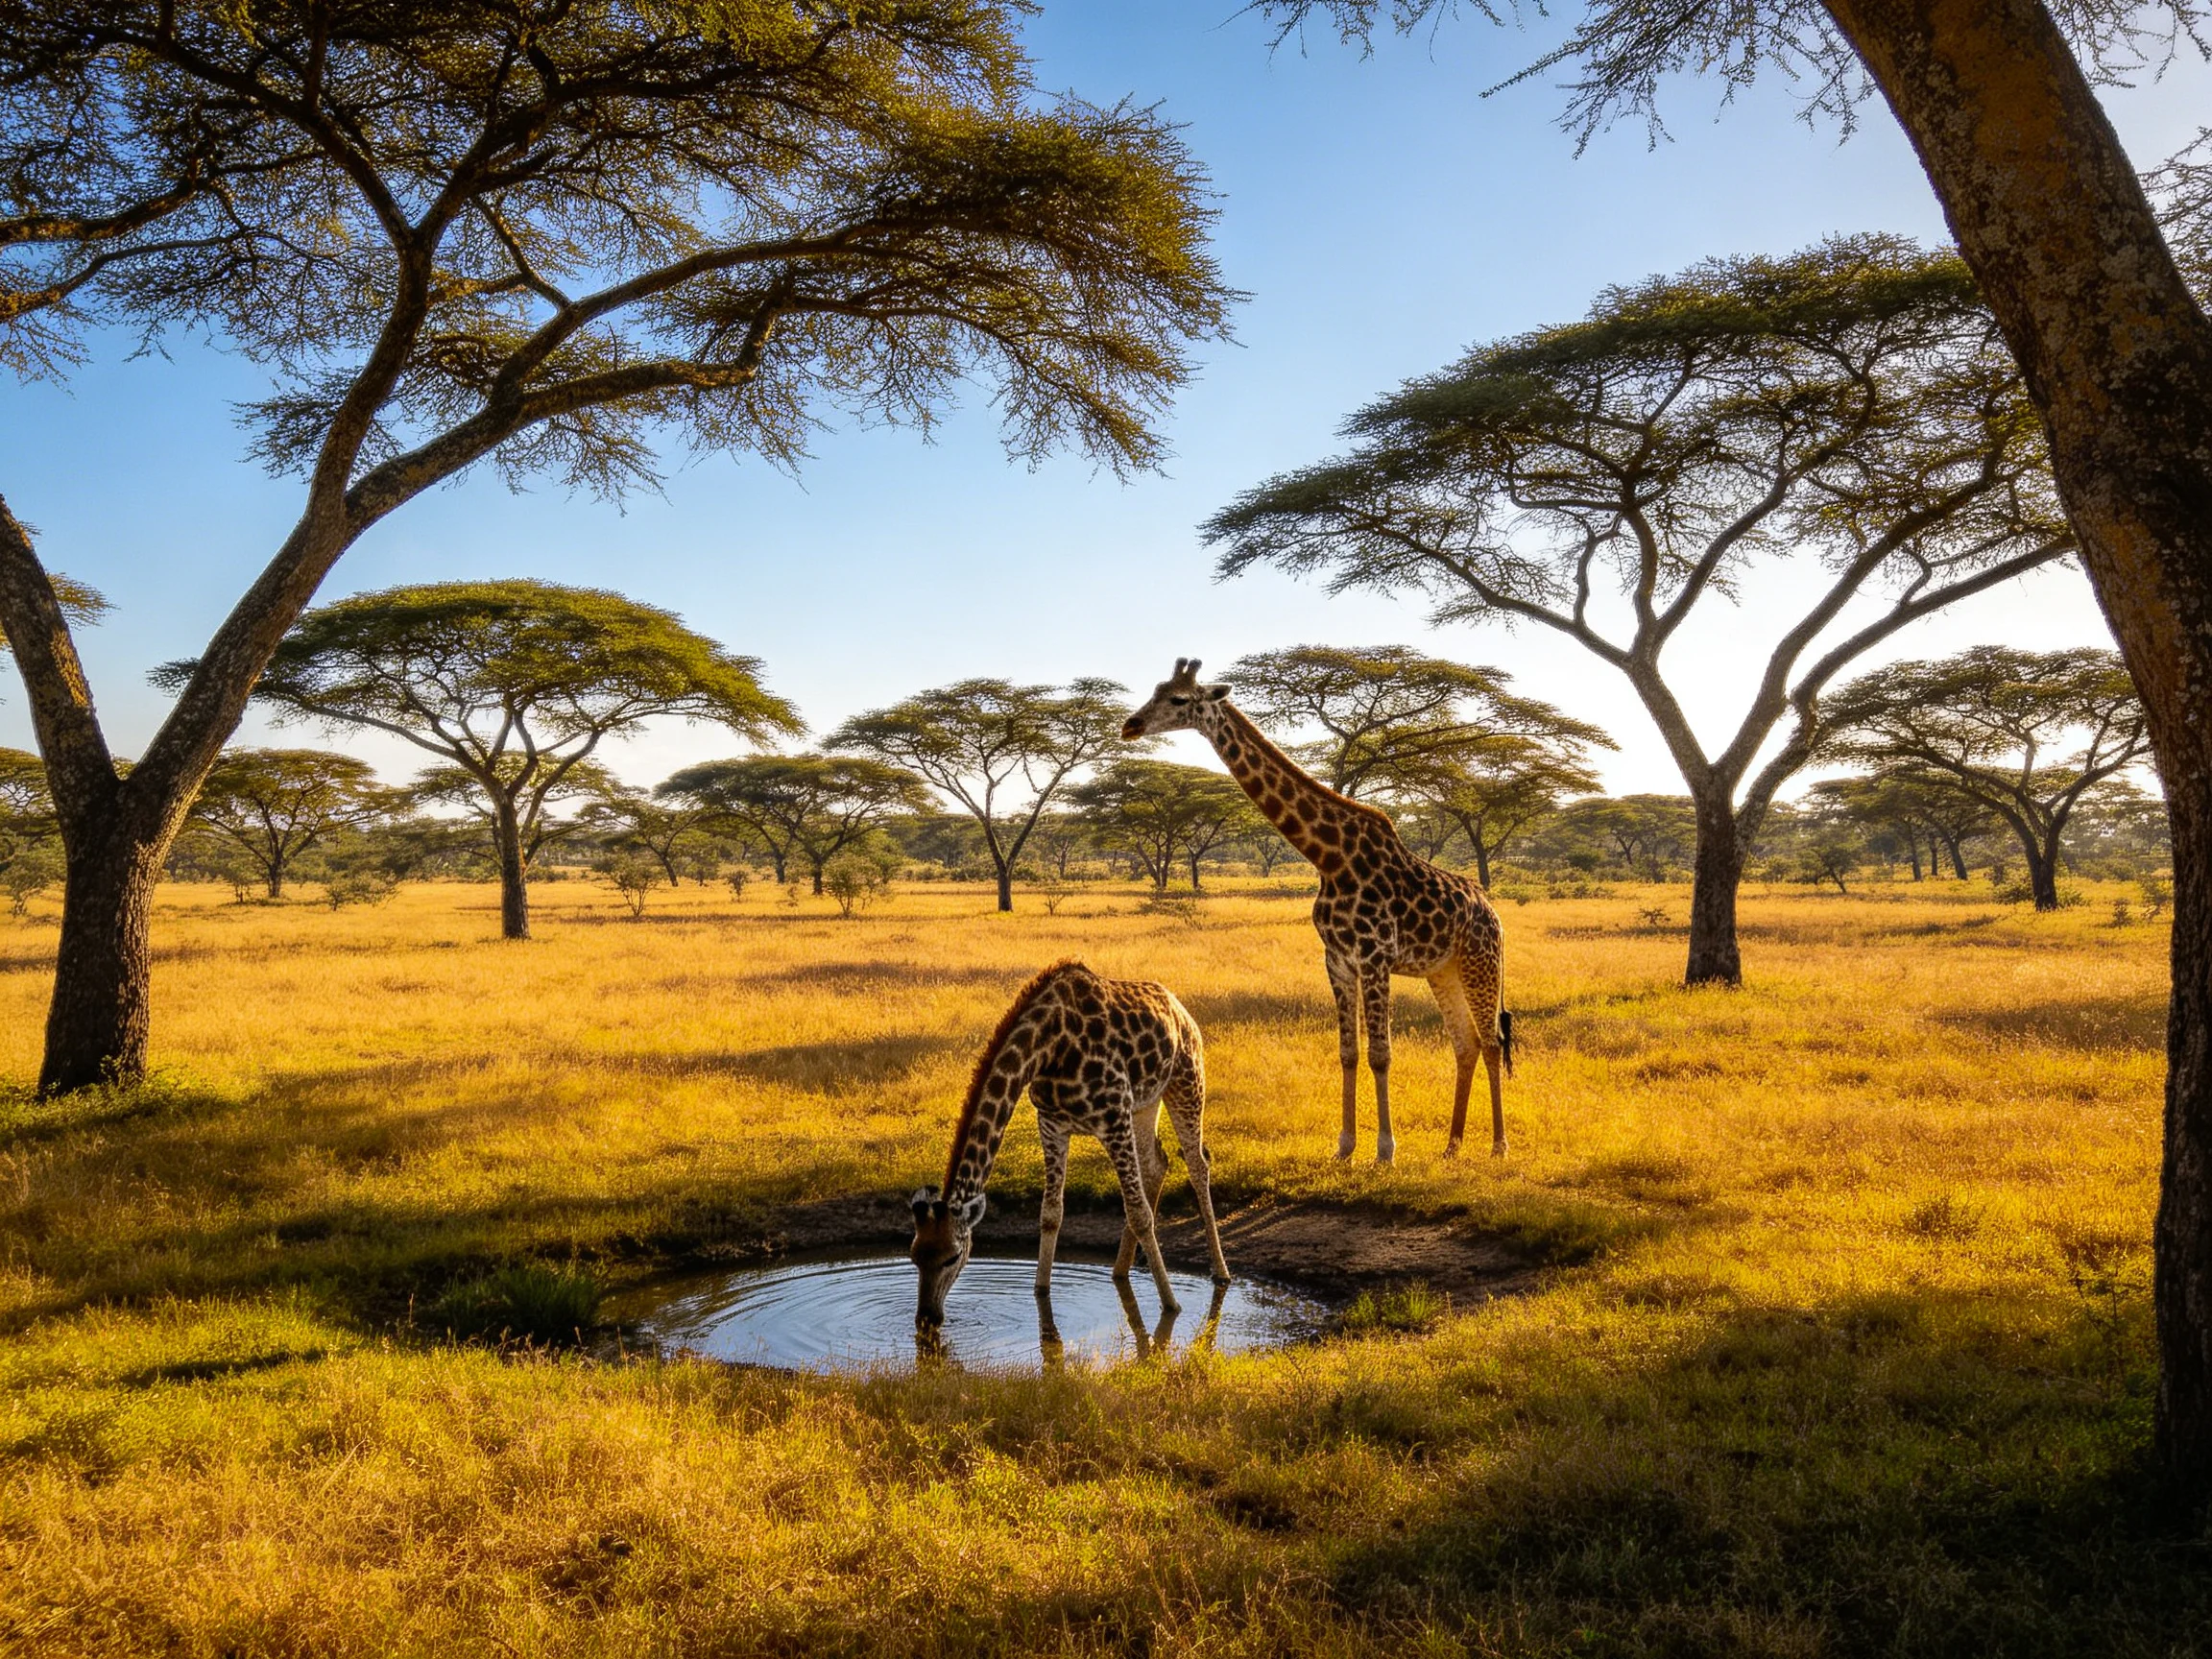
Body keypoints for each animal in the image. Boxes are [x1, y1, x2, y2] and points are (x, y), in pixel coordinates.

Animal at [909, 959, 1231, 1328]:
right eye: (914, 1255)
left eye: (952, 1257)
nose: (927, 1317)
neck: (1050, 1048)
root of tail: (1180, 1008)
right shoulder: (1052, 1124)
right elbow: (1051, 1213)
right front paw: (1041, 1293)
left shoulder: (1112, 1117)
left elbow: (1139, 1213)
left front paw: (1171, 1305)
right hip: (1145, 1102)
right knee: (1156, 1163)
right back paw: (1120, 1270)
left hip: (1186, 1082)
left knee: (1197, 1162)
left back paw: (1220, 1272)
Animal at [1121, 658, 1514, 1163]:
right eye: (1155, 690)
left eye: (1179, 699)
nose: (1131, 725)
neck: (1329, 857)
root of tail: (1492, 912)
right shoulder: (1338, 960)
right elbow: (1348, 1053)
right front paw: (1345, 1146)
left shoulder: (1375, 958)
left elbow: (1381, 1054)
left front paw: (1385, 1150)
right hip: (1442, 970)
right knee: (1465, 1045)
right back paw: (1451, 1146)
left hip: (1481, 962)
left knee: (1492, 1041)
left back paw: (1498, 1145)